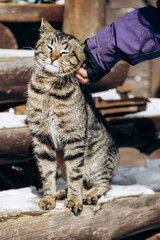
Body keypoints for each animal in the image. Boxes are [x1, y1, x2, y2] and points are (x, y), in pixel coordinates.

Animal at [26, 17, 119, 215]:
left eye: (65, 51)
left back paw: (88, 195)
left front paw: (75, 200)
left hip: (98, 161)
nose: (53, 58)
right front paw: (49, 197)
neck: (49, 87)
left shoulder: (74, 138)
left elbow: (75, 173)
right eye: (49, 46)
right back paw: (62, 193)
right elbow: (47, 172)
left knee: (101, 183)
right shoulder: (41, 136)